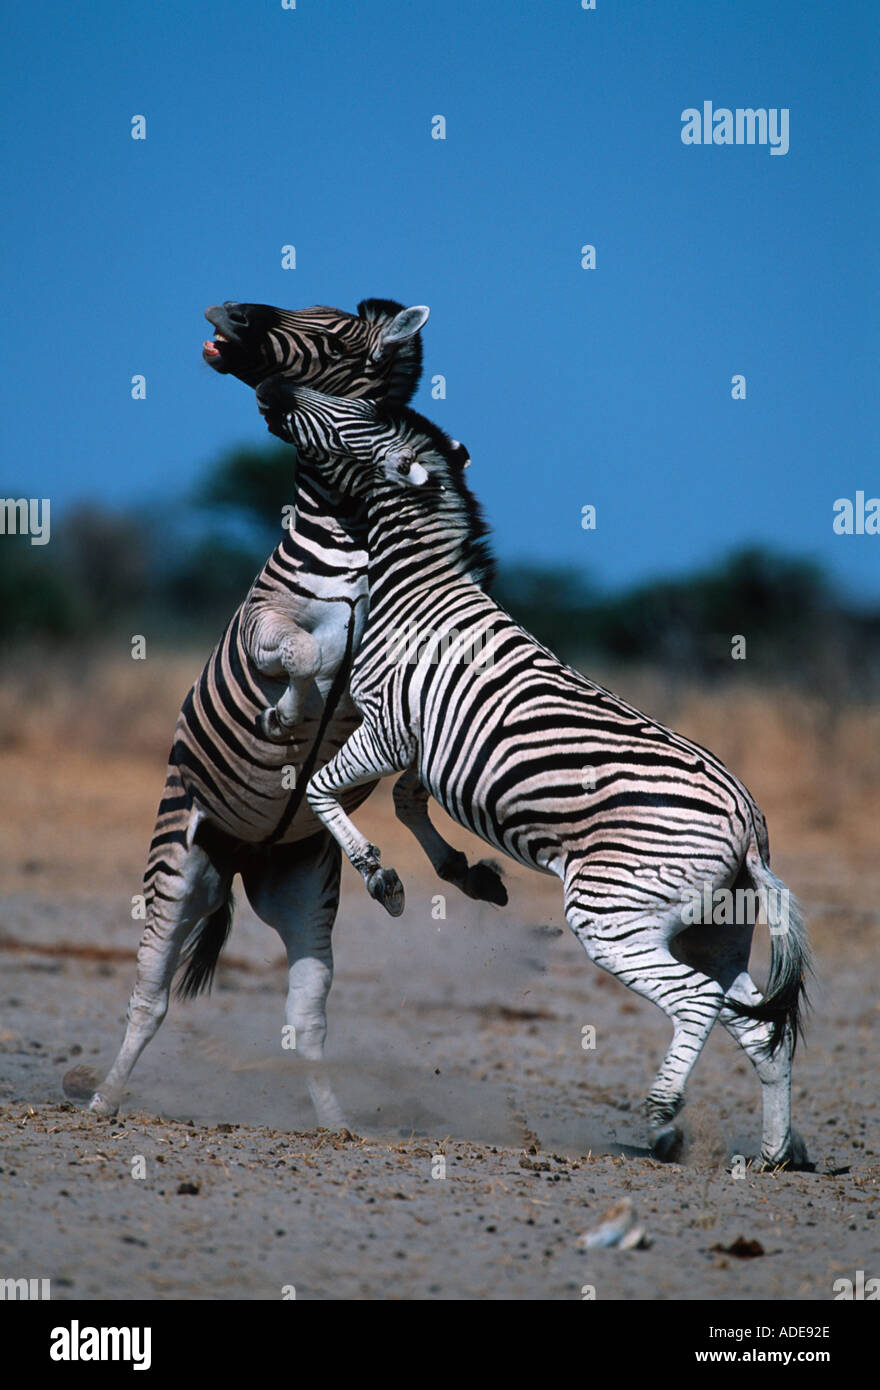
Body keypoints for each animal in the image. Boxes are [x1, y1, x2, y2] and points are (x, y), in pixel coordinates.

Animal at [80, 298, 504, 1130]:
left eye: (332, 337)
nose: (224, 314)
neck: (364, 538)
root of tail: (246, 854)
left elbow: (406, 780)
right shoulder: (263, 623)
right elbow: (305, 655)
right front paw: (284, 714)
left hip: (304, 894)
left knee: (306, 1020)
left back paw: (336, 1123)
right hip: (180, 871)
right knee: (149, 998)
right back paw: (105, 1099)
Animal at [253, 376, 813, 1169]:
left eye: (352, 413)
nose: (271, 387)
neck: (414, 591)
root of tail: (749, 822)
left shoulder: (390, 726)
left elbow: (325, 788)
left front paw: (381, 877)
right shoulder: (428, 748)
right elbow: (405, 802)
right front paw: (464, 872)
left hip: (613, 913)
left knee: (698, 1000)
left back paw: (663, 1118)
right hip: (714, 928)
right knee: (758, 1025)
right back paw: (769, 1154)